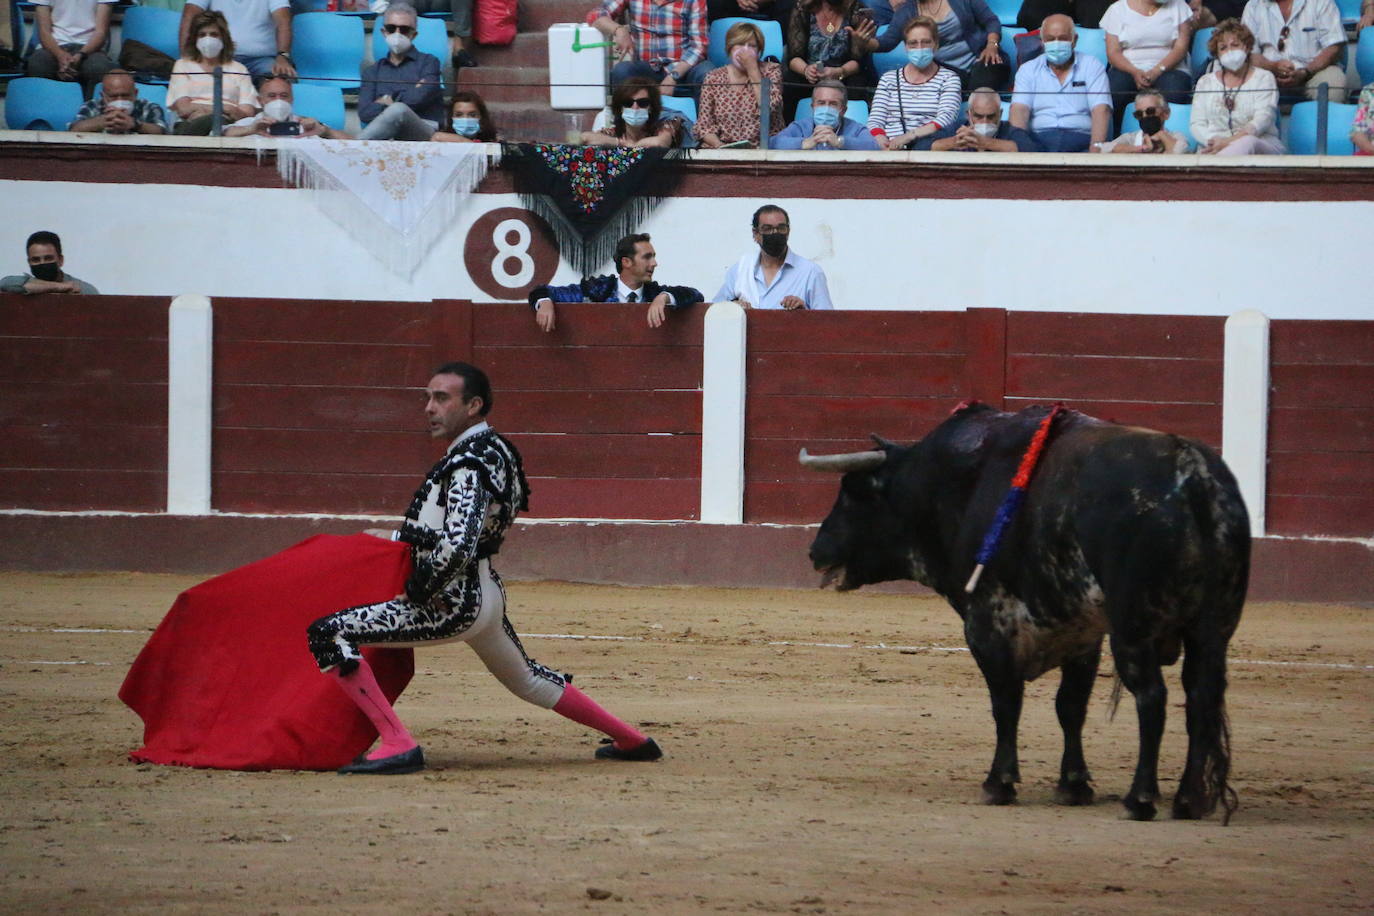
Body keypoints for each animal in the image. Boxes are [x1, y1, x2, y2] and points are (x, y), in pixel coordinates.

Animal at [802, 403, 1253, 818]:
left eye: (851, 493)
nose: (815, 550)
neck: (952, 483)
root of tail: (1194, 474)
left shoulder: (988, 622)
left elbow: (1006, 701)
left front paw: (998, 783)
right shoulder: (1081, 631)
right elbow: (1070, 706)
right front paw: (1073, 785)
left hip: (1133, 628)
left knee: (1152, 698)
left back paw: (1139, 798)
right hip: (1214, 628)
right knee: (1200, 696)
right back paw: (1188, 800)